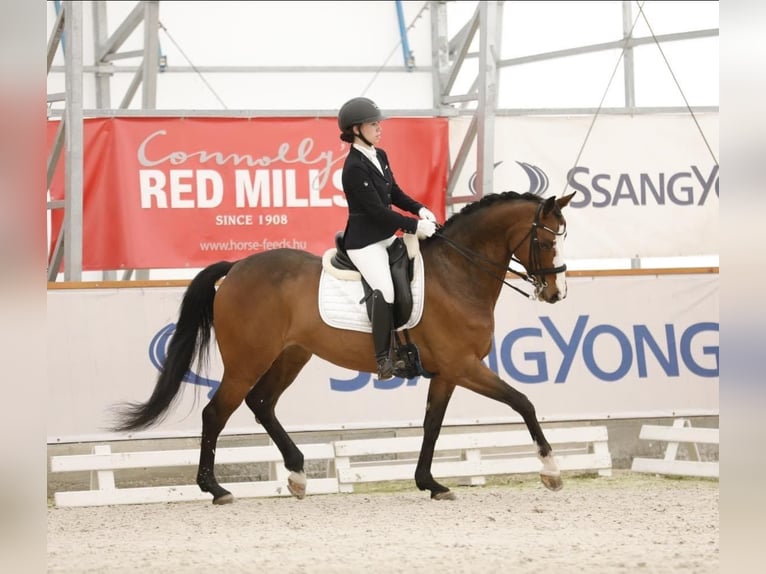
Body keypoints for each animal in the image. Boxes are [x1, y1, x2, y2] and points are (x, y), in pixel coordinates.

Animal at [112, 192, 576, 504]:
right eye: (546, 241)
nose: (557, 293)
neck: (457, 273)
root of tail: (238, 266)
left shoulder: (447, 373)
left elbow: (432, 425)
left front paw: (430, 483)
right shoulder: (464, 366)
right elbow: (523, 402)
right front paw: (551, 470)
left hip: (291, 355)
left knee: (262, 403)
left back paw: (297, 475)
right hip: (247, 360)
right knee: (217, 412)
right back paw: (216, 488)